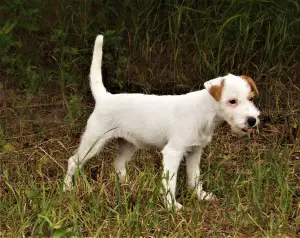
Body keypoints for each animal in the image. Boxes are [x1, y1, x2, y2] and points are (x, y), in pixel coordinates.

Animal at [63, 34, 260, 209]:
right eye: (232, 101)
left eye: (251, 98)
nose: (252, 120)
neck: (205, 112)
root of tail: (105, 97)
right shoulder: (173, 152)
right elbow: (170, 183)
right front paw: (171, 206)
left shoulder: (195, 151)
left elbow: (195, 177)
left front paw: (201, 196)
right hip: (93, 142)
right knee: (73, 161)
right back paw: (67, 188)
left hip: (128, 144)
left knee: (118, 164)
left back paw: (128, 185)